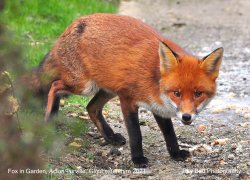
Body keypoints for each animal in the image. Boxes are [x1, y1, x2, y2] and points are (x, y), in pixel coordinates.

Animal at [30, 13, 224, 167]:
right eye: (176, 93)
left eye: (198, 94)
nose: (186, 117)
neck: (155, 78)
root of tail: (74, 24)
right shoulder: (127, 99)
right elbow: (136, 134)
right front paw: (137, 159)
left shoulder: (159, 108)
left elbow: (170, 133)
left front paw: (175, 153)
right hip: (84, 86)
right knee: (55, 86)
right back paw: (49, 118)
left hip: (107, 89)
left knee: (91, 108)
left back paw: (110, 137)